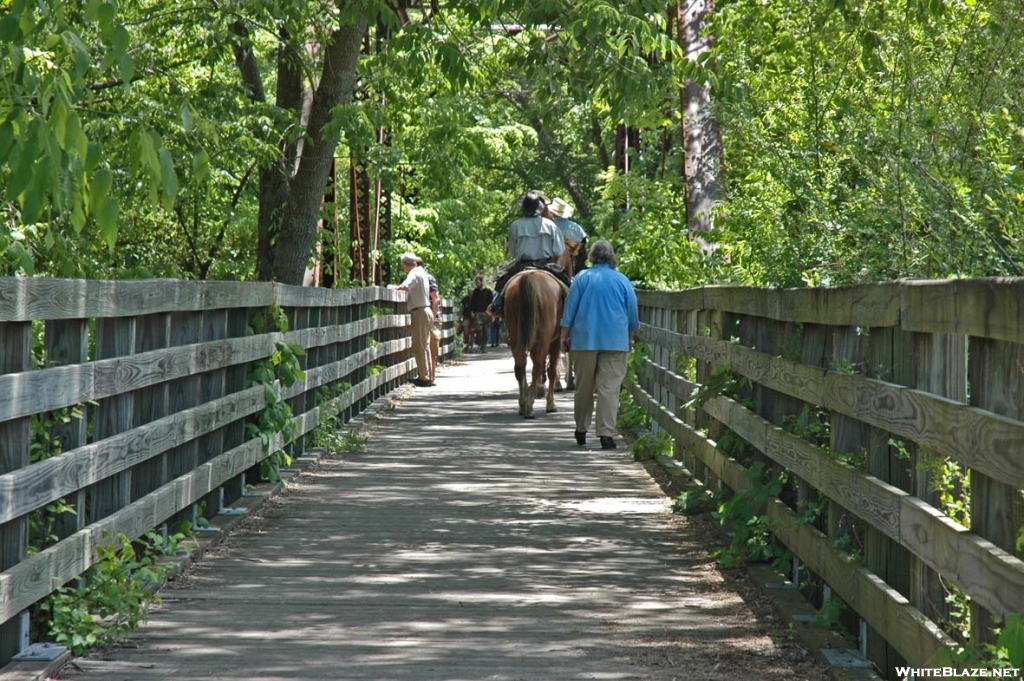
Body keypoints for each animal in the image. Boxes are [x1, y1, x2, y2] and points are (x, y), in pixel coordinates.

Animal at [503, 268, 569, 417]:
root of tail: (529, 277)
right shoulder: (556, 341)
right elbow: (551, 370)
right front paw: (551, 404)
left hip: (516, 333)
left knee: (520, 366)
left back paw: (523, 404)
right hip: (544, 336)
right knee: (537, 366)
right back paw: (529, 407)